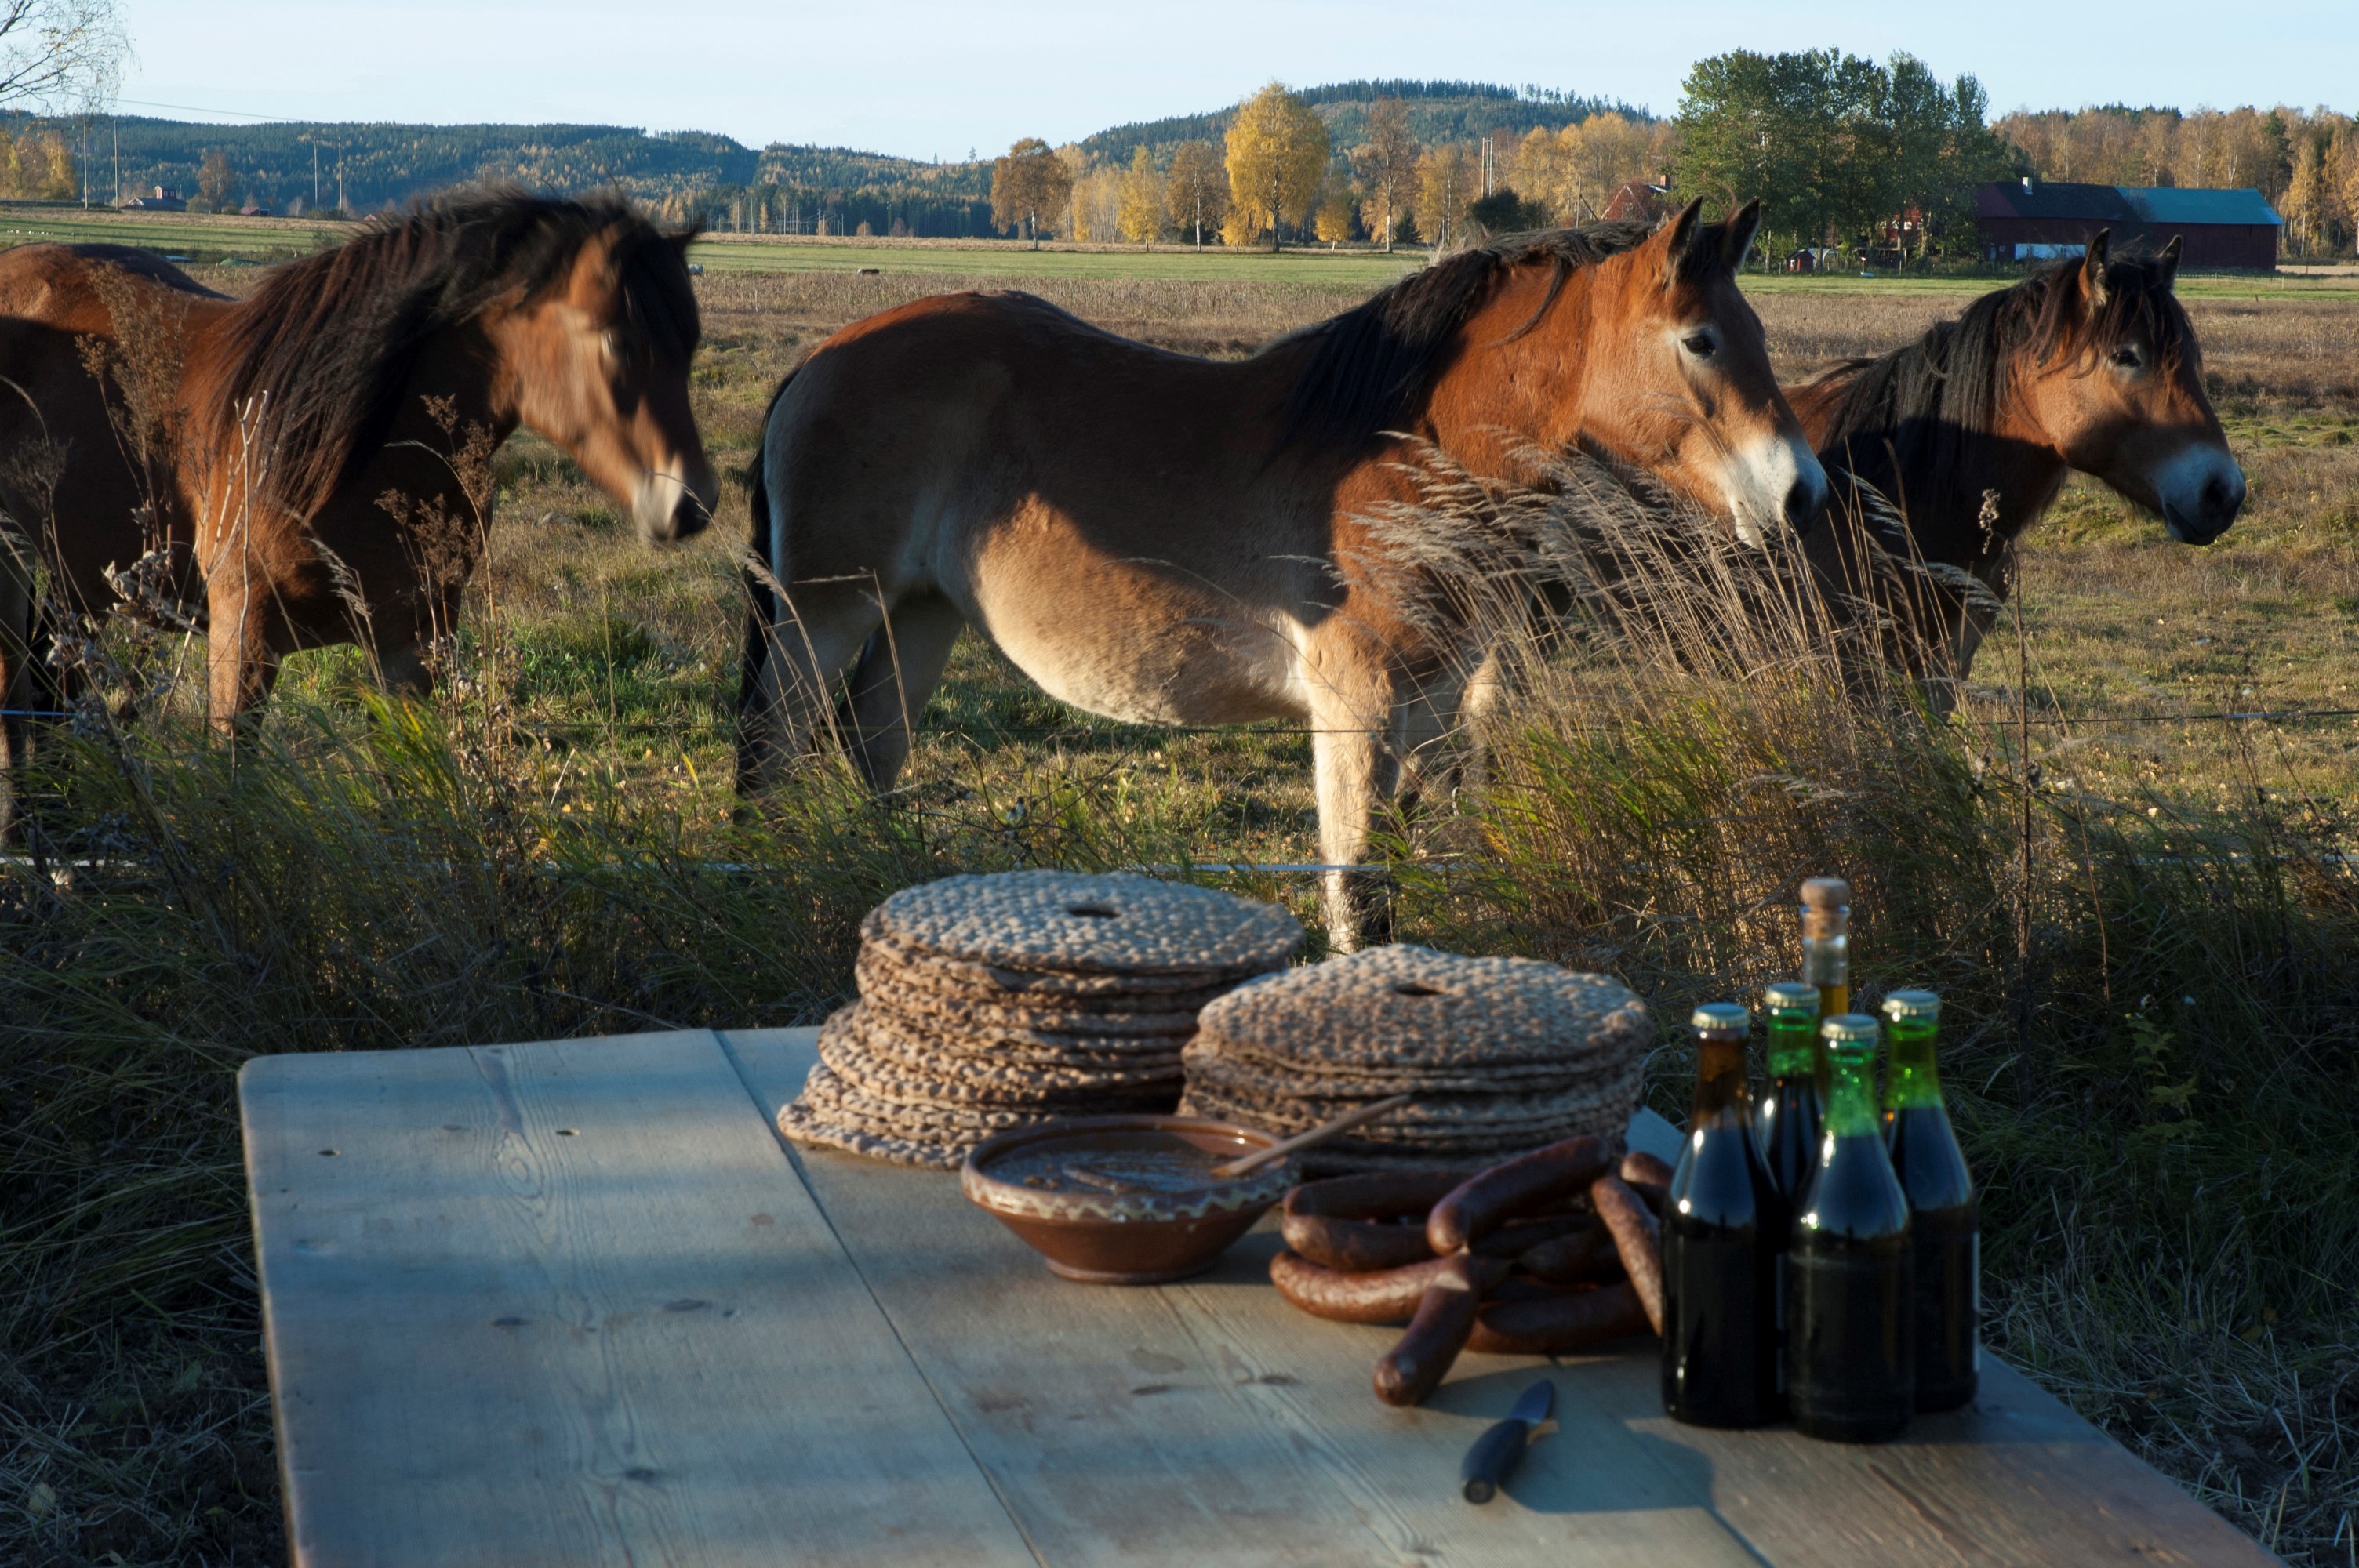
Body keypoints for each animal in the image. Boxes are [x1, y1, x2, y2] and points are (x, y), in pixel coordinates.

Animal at [0, 191, 717, 811]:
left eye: (691, 342)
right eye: (616, 341)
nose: (690, 503)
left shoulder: (410, 646)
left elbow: (400, 785)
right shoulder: (242, 634)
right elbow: (234, 782)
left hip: (79, 585)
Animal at [745, 201, 1830, 948]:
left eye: (1757, 335)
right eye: (1698, 340)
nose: (1800, 493)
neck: (1403, 454)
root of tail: (822, 359)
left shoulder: (1435, 705)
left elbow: (1415, 869)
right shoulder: (1355, 707)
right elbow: (1357, 891)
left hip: (919, 615)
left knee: (869, 747)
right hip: (826, 614)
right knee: (772, 753)